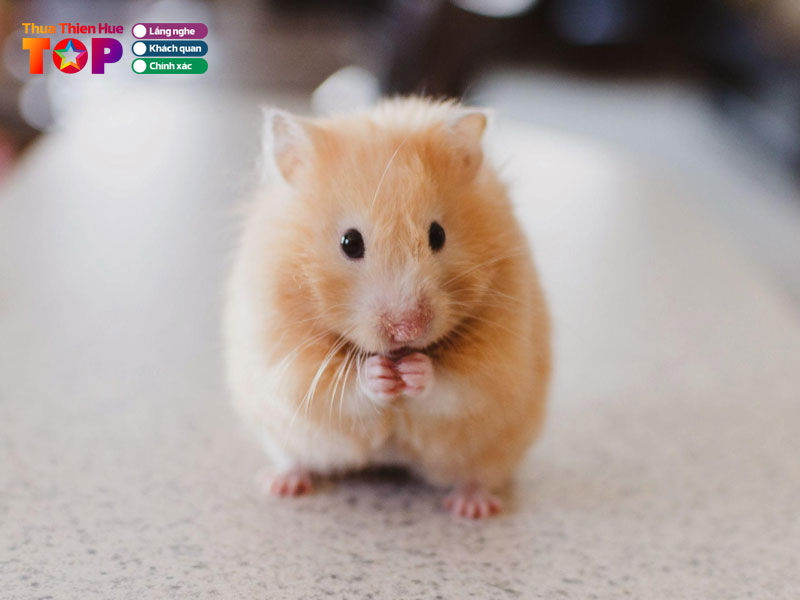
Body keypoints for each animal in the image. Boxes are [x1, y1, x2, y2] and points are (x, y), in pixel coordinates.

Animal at [223, 97, 550, 518]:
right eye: (350, 242)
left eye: (438, 235)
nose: (407, 330)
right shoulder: (285, 358)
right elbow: (340, 387)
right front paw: (379, 374)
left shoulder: (499, 362)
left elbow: (456, 386)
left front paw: (414, 371)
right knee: (295, 459)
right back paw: (280, 484)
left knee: (477, 475)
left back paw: (472, 507)